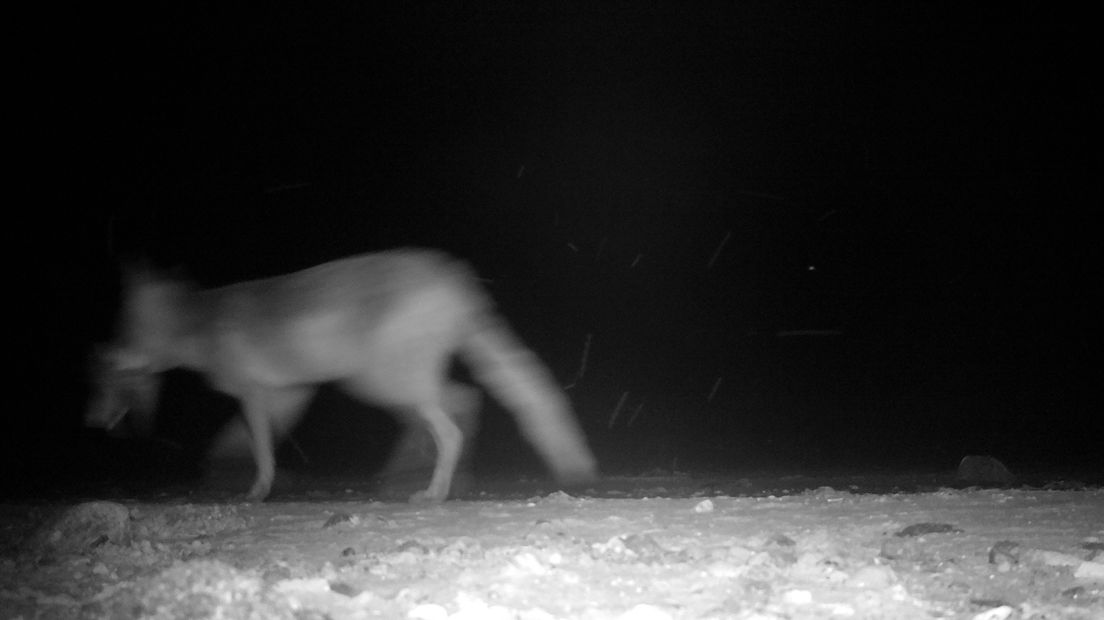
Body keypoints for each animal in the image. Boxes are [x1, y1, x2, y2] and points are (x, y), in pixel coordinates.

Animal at [83, 244, 604, 496]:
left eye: (108, 360)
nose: (90, 421)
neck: (202, 325)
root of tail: (451, 271)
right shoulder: (288, 392)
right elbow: (246, 442)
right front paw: (235, 476)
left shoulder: (254, 393)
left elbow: (259, 448)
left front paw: (253, 490)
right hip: (393, 383)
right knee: (468, 402)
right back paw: (435, 477)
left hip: (380, 382)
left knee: (450, 426)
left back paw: (432, 491)